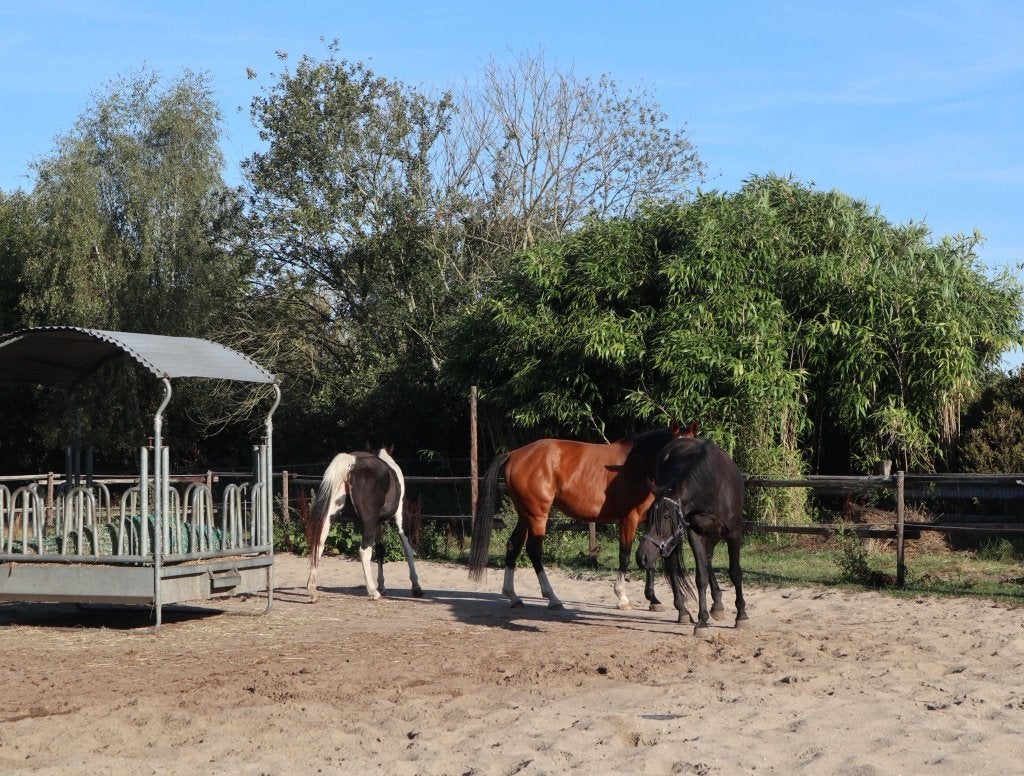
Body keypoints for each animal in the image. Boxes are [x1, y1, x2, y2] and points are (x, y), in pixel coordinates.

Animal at [305, 448, 423, 602]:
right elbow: (408, 549)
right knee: (364, 551)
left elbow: (380, 550)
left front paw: (382, 585)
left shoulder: (378, 523)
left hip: (330, 516)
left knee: (318, 544)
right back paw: (373, 592)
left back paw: (312, 592)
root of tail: (351, 462)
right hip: (369, 522)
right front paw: (416, 586)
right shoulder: (399, 517)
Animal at [468, 422, 692, 609]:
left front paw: (653, 600)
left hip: (525, 515)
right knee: (534, 550)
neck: (637, 465)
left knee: (513, 545)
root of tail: (514, 454)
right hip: (537, 515)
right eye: (670, 453)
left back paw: (513, 596)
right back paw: (552, 598)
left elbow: (650, 556)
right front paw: (622, 598)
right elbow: (625, 556)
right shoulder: (629, 519)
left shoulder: (651, 522)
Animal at [635, 435, 747, 634]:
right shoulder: (695, 532)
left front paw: (741, 615)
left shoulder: (734, 533)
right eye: (650, 515)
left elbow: (735, 572)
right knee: (673, 565)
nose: (642, 556)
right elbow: (701, 576)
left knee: (708, 561)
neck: (713, 486)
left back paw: (717, 605)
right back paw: (683, 611)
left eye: (666, 516)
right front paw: (702, 621)